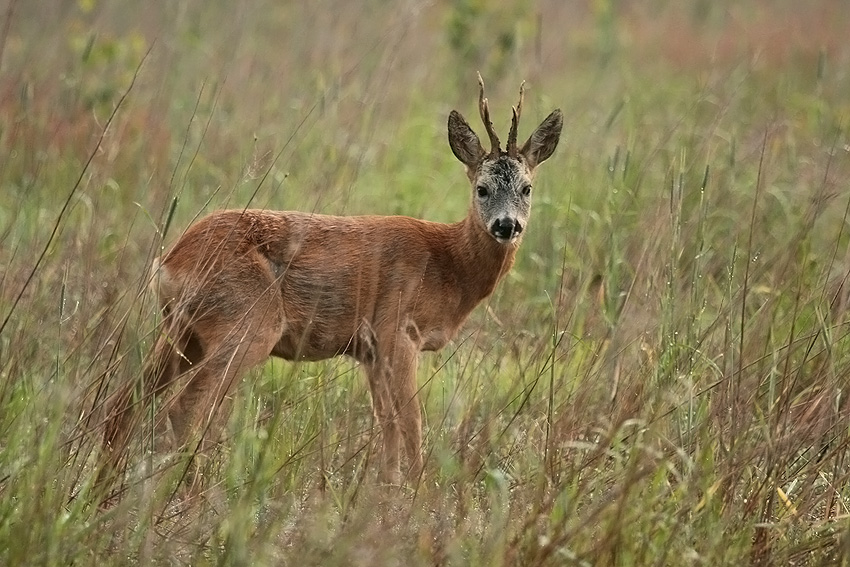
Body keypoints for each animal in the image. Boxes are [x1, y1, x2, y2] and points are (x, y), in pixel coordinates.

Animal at [97, 74, 564, 492]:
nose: (507, 225)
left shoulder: (370, 351)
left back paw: (104, 492)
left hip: (184, 331)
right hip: (247, 323)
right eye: (482, 188)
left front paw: (387, 497)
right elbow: (412, 425)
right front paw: (420, 499)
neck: (448, 264)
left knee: (122, 402)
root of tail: (169, 261)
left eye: (527, 188)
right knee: (181, 411)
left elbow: (388, 428)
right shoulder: (397, 329)